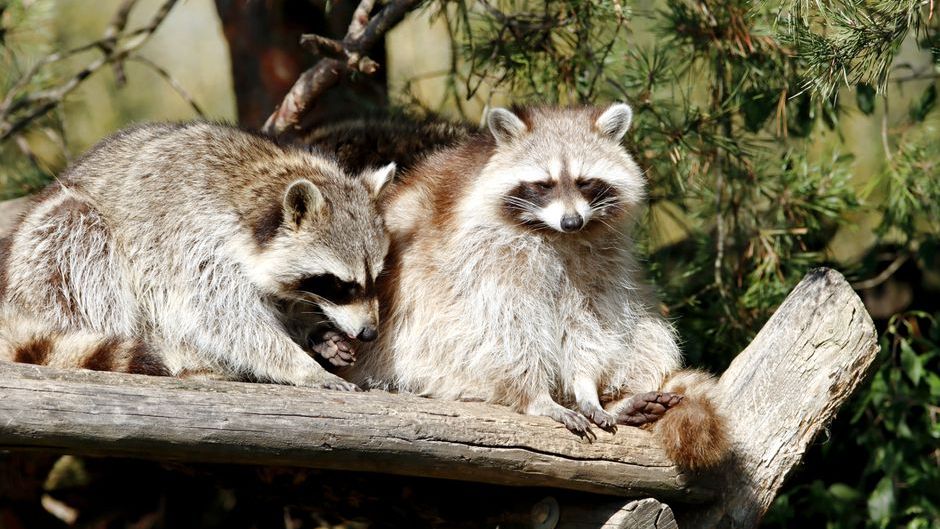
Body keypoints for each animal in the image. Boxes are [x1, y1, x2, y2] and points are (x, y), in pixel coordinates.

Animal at [0, 122, 394, 390]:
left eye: (374, 278)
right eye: (340, 285)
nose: (370, 333)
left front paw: (315, 331)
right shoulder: (193, 239)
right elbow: (221, 318)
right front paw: (300, 364)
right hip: (43, 260)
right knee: (81, 236)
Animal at [341, 105, 729, 469]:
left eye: (585, 182)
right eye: (544, 184)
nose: (572, 221)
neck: (556, 236)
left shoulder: (600, 265)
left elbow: (589, 322)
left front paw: (586, 386)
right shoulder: (484, 260)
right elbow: (505, 330)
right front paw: (537, 397)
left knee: (646, 330)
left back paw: (618, 400)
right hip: (413, 347)